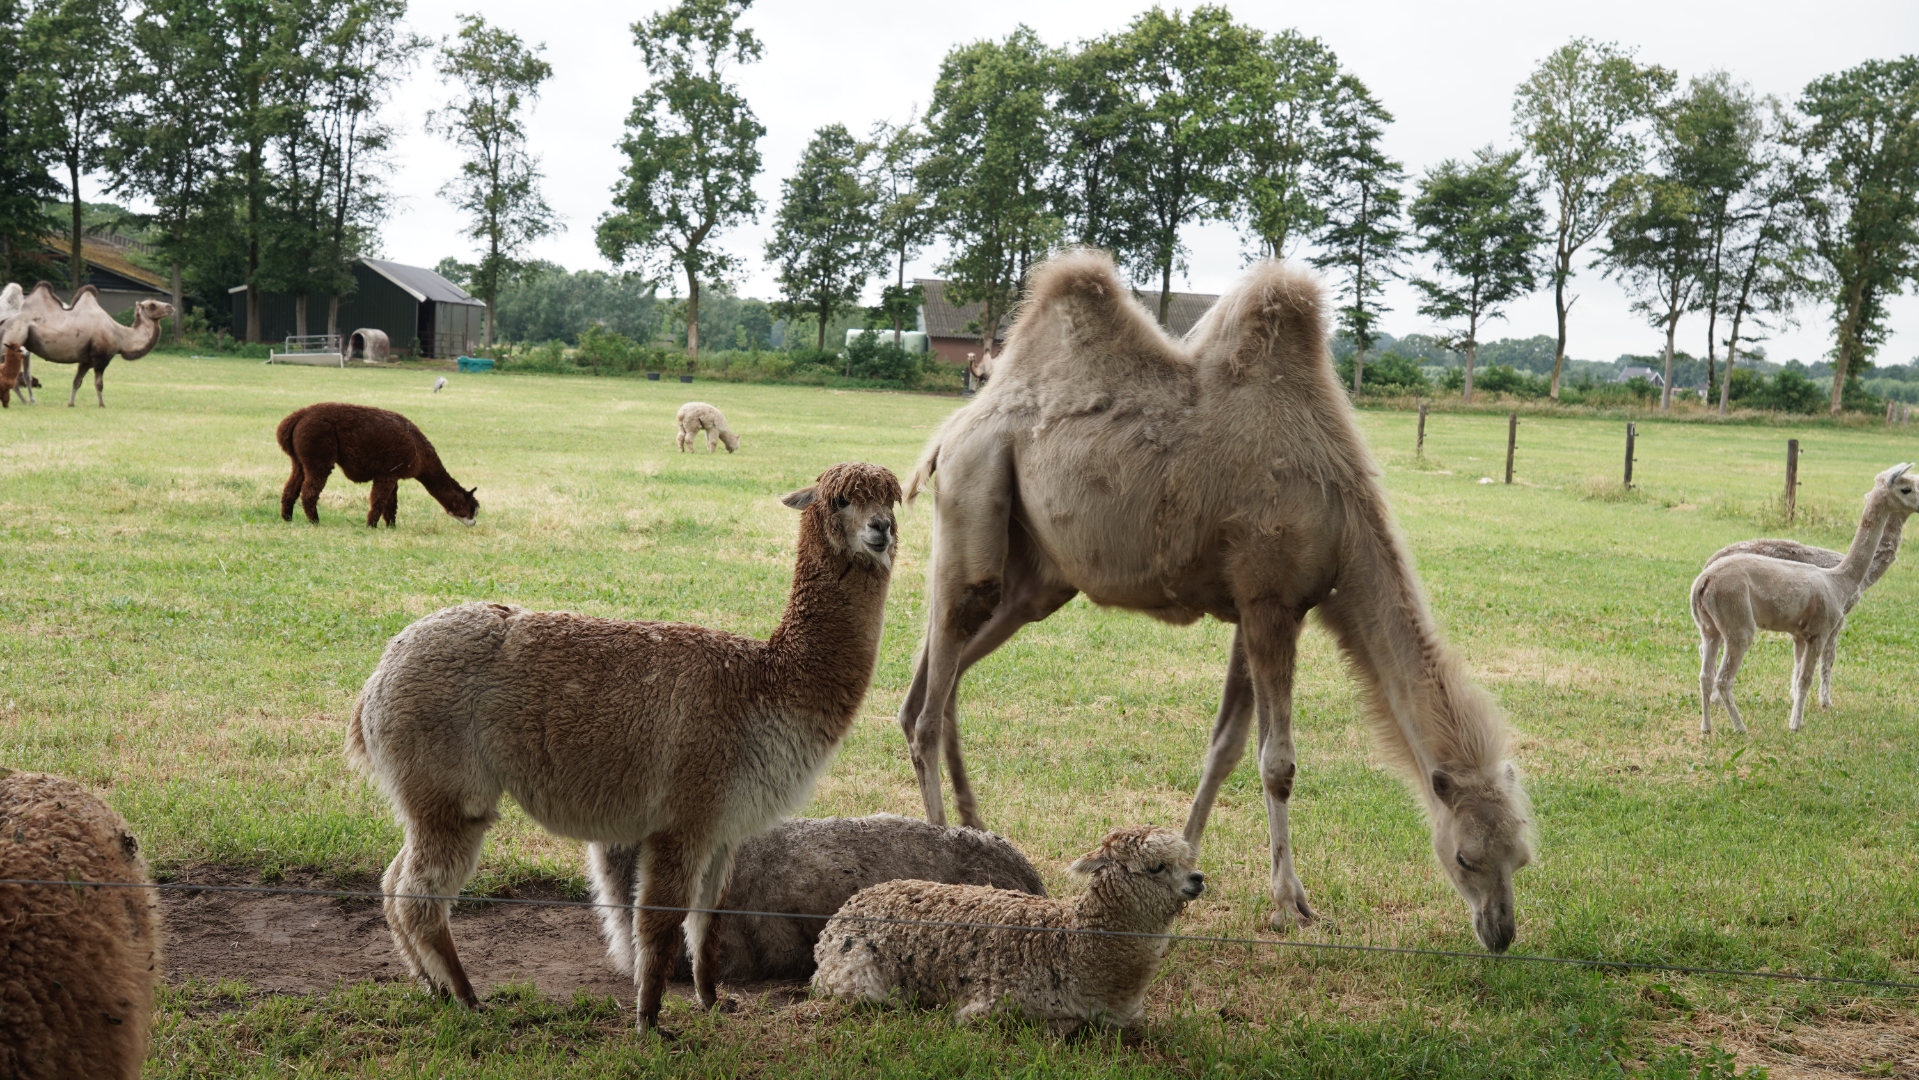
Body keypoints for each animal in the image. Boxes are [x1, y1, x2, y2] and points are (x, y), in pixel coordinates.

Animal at [0, 284, 173, 406]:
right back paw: (25, 401)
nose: (170, 307)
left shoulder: (86, 360)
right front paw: (102, 405)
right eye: (152, 305)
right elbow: (99, 383)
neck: (121, 335)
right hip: (14, 339)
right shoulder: (100, 358)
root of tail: (5, 323)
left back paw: (27, 401)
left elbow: (77, 382)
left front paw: (70, 404)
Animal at [899, 249, 1533, 952]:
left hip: (1037, 579)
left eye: (1522, 858)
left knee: (943, 676)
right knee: (935, 682)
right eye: (1467, 856)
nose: (1500, 932)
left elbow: (1225, 748)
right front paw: (1289, 903)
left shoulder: (1259, 607)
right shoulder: (1269, 599)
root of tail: (949, 435)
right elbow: (1278, 762)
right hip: (976, 488)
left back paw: (977, 825)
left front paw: (1186, 865)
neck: (1342, 520)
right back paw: (944, 848)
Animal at [1692, 464, 1919, 734]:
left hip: (1710, 625)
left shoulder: (1800, 633)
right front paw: (1800, 722)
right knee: (1723, 678)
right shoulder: (1823, 628)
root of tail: (1704, 578)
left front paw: (1796, 709)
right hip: (1738, 620)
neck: (1840, 580)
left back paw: (1706, 729)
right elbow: (1812, 673)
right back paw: (1740, 728)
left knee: (1705, 674)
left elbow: (1798, 670)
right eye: (1906, 488)